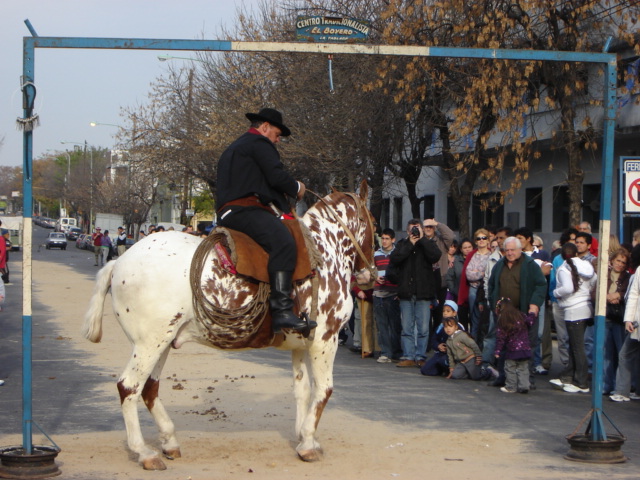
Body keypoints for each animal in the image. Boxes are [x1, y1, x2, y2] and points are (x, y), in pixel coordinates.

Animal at [82, 182, 378, 470]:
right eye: (374, 220)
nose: (368, 275)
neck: (324, 251)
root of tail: (119, 261)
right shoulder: (325, 339)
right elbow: (324, 390)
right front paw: (308, 444)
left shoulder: (301, 343)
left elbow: (302, 391)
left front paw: (305, 438)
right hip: (149, 344)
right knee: (129, 386)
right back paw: (144, 452)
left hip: (161, 341)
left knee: (149, 388)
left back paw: (169, 441)